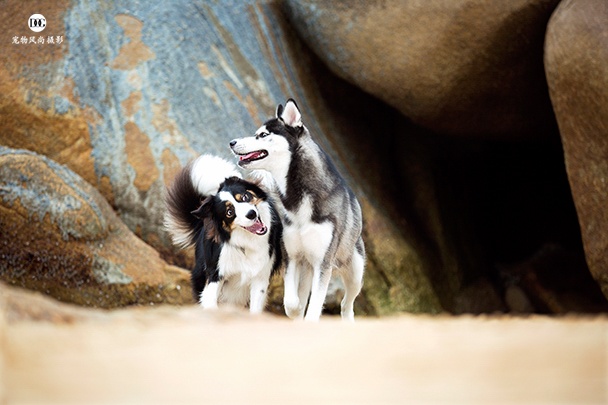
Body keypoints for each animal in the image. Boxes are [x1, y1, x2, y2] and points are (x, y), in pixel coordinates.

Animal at [163, 155, 284, 312]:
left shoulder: (260, 276)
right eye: (229, 212)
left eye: (245, 197)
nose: (251, 214)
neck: (246, 242)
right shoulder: (216, 274)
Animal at [229, 99, 364, 320]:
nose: (232, 142)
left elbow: (314, 306)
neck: (299, 197)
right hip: (307, 266)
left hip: (354, 271)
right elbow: (292, 303)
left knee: (347, 303)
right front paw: (297, 312)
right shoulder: (291, 257)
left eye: (263, 135)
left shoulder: (323, 264)